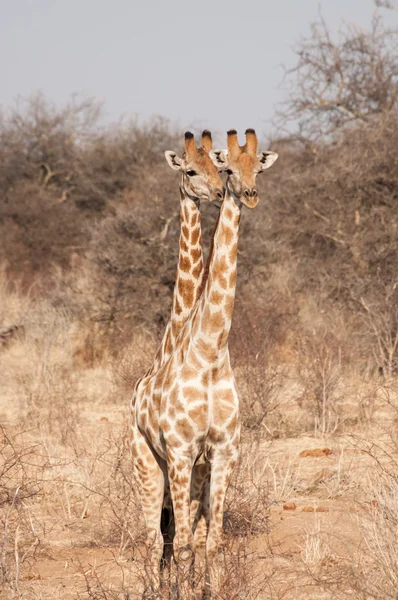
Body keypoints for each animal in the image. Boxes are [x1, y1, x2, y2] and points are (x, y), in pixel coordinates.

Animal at [131, 127, 276, 596]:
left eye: (257, 168)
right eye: (225, 168)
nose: (247, 194)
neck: (210, 352)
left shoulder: (223, 452)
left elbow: (211, 541)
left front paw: (207, 590)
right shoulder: (179, 452)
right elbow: (181, 544)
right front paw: (181, 590)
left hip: (189, 471)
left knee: (176, 533)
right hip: (146, 461)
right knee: (152, 536)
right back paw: (154, 589)